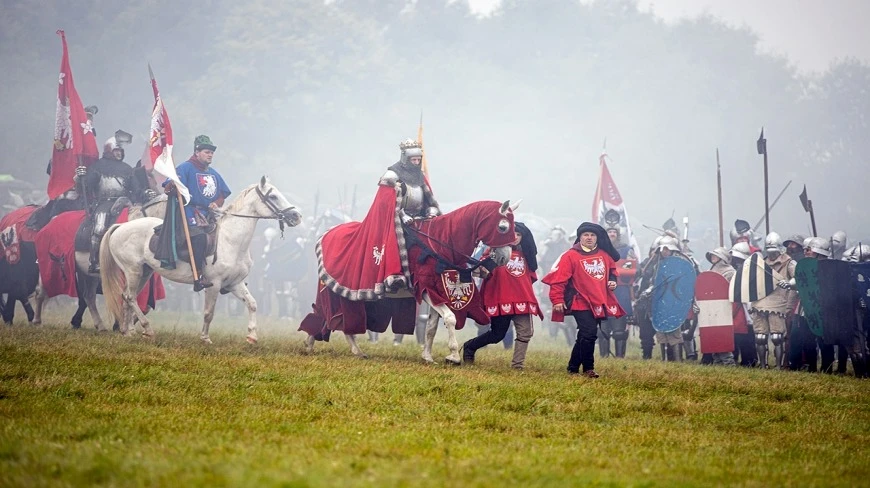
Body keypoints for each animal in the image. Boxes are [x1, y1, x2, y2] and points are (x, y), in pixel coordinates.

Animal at [98, 178, 302, 344]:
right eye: (273, 196)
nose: (296, 216)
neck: (231, 241)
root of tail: (119, 227)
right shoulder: (214, 284)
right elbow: (208, 313)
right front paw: (205, 338)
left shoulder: (235, 283)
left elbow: (252, 304)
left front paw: (252, 335)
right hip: (133, 271)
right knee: (131, 297)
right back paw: (147, 329)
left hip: (144, 272)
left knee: (126, 297)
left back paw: (128, 331)